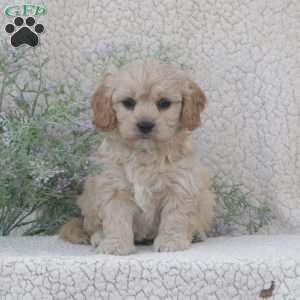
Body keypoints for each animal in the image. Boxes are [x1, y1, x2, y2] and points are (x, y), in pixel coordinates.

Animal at [58, 59, 214, 254]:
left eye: (164, 103)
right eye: (128, 102)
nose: (145, 125)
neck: (145, 153)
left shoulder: (180, 185)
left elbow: (174, 217)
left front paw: (171, 241)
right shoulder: (115, 189)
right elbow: (116, 220)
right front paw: (116, 245)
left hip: (206, 199)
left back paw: (196, 234)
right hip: (90, 197)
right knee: (93, 226)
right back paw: (99, 237)